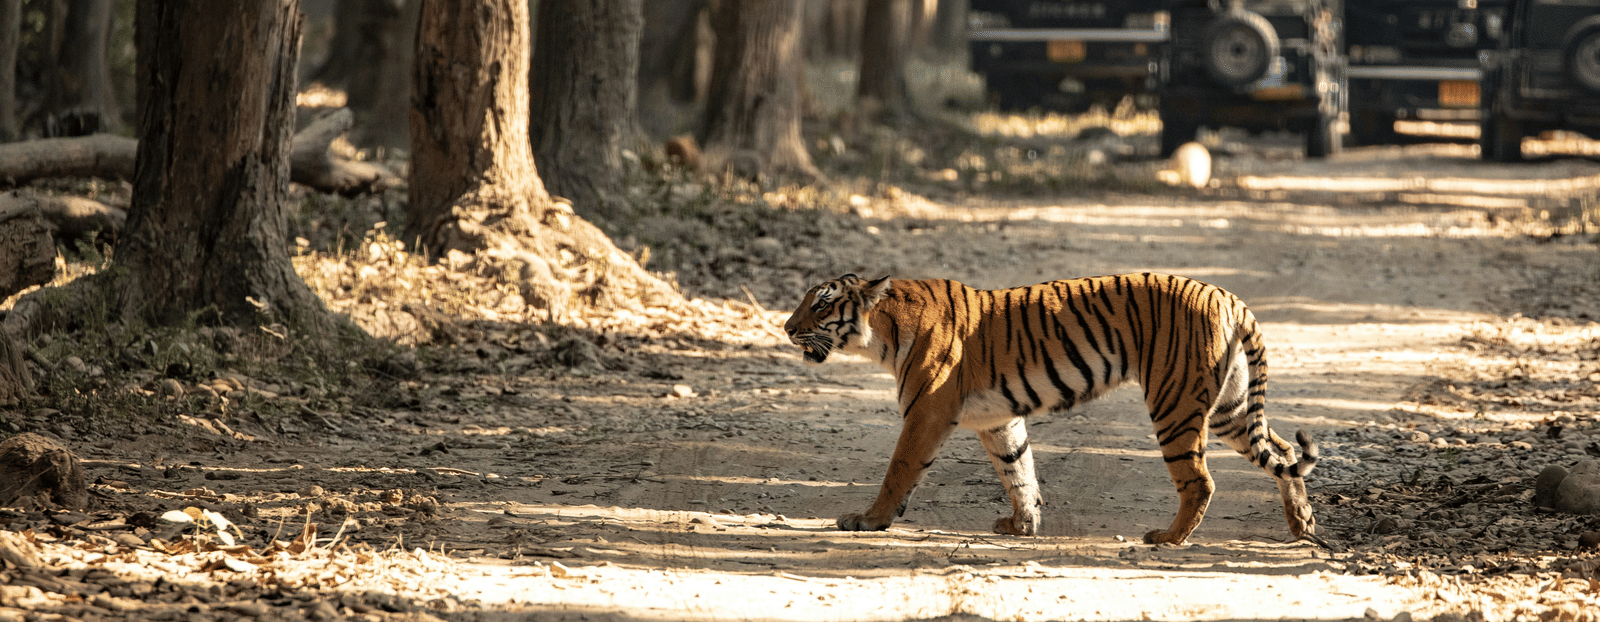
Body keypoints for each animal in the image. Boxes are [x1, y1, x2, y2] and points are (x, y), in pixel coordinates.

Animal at [783, 272, 1320, 546]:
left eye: (821, 305)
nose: (787, 327)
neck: (883, 334)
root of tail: (1227, 295)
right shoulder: (998, 419)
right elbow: (1019, 471)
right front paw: (1022, 526)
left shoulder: (926, 413)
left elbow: (899, 470)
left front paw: (868, 521)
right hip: (1230, 408)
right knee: (1283, 451)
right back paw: (1302, 524)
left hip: (1176, 403)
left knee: (1200, 480)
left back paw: (1167, 537)